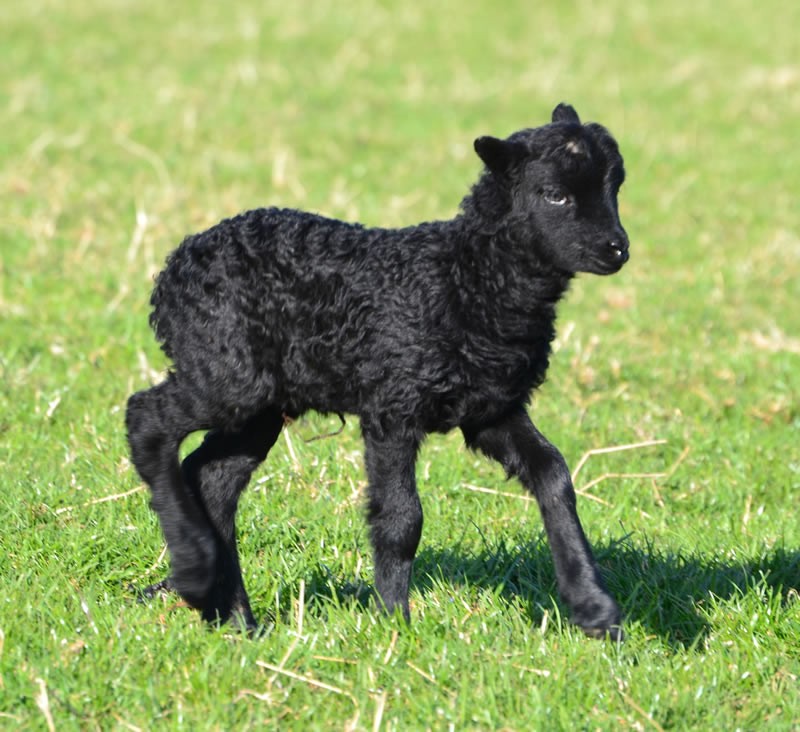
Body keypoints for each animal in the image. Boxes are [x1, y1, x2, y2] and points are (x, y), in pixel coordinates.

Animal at [126, 103, 629, 640]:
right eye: (554, 194)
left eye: (615, 185)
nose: (617, 248)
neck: (465, 280)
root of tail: (171, 271)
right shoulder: (393, 403)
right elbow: (401, 519)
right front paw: (395, 624)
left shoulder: (490, 409)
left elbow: (554, 476)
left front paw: (596, 611)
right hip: (226, 371)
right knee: (146, 419)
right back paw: (193, 573)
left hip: (261, 403)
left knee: (212, 478)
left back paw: (235, 618)